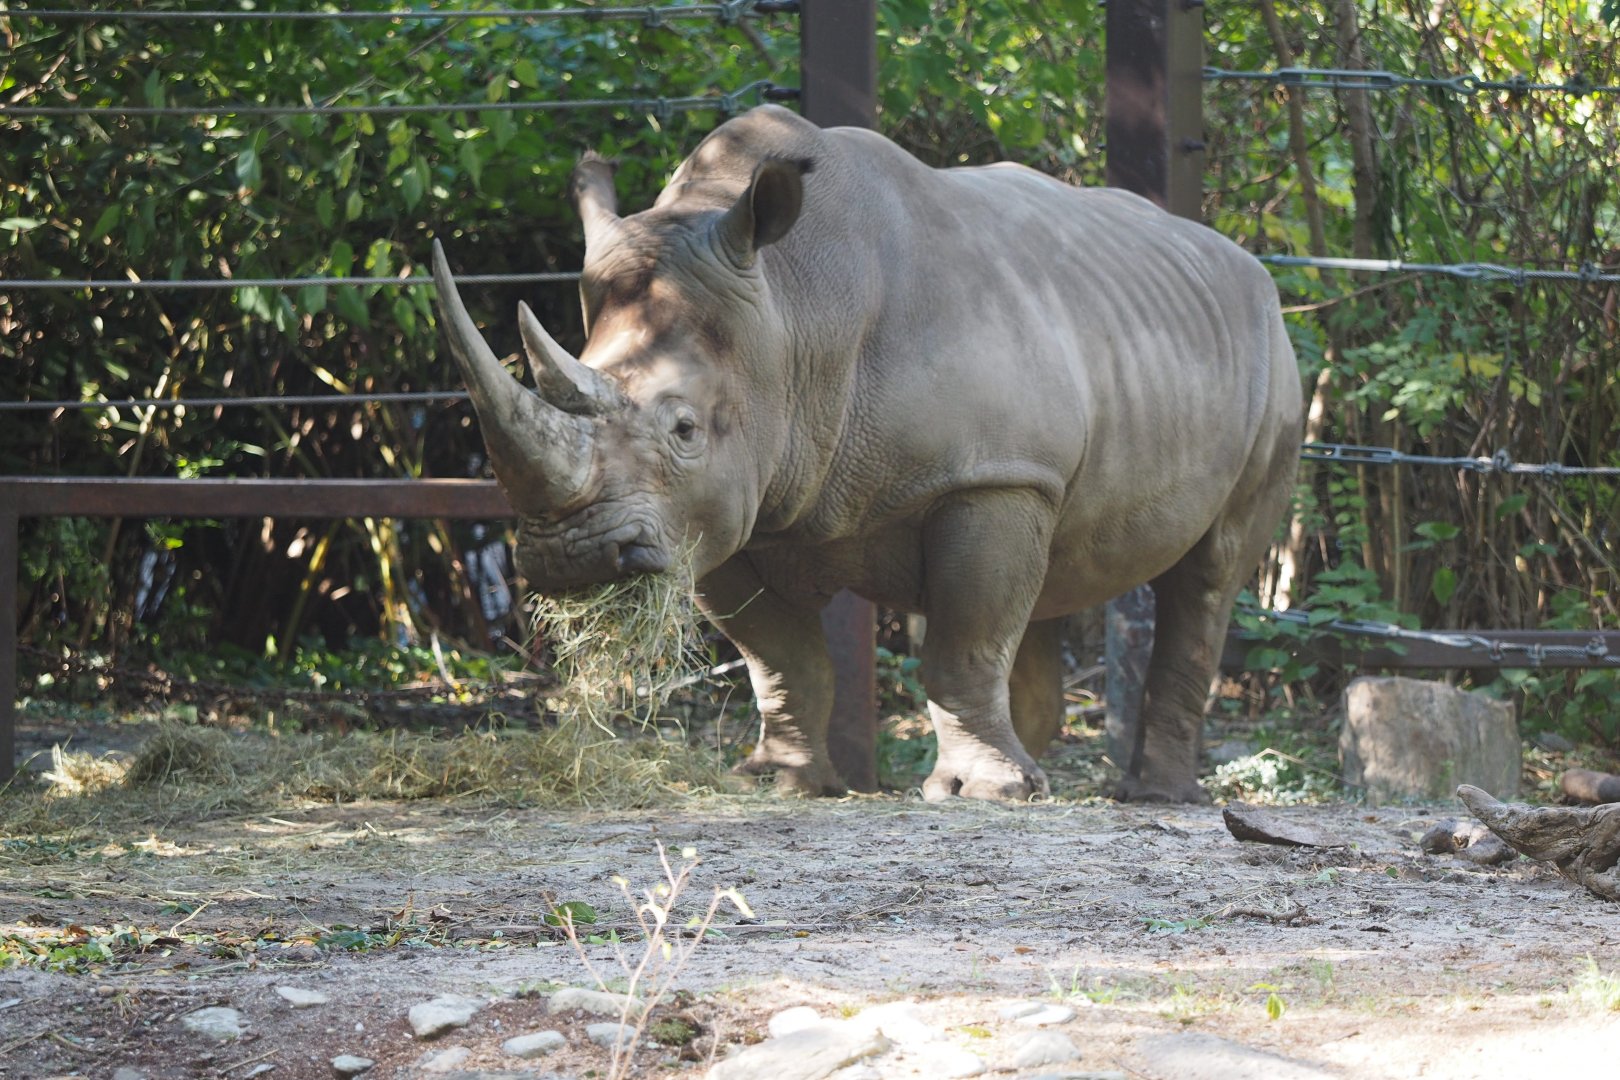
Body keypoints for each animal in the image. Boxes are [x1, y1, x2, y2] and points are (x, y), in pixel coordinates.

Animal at [431, 104, 1302, 802]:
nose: (573, 556)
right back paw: (1041, 766)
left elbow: (962, 641)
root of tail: (1243, 261)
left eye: (684, 429)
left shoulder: (986, 476)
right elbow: (783, 660)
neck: (790, 314)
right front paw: (777, 783)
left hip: (1272, 358)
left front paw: (981, 796)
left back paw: (1151, 796)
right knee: (1050, 575)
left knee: (1209, 574)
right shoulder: (722, 512)